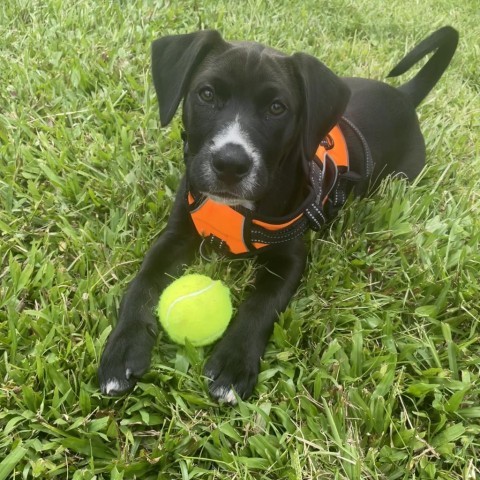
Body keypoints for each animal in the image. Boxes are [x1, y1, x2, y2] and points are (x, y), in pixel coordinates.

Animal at [97, 25, 458, 402]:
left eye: (276, 107)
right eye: (207, 94)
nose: (230, 163)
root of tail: (402, 96)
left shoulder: (290, 258)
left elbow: (262, 303)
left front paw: (233, 363)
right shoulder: (176, 234)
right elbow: (142, 282)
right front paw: (123, 348)